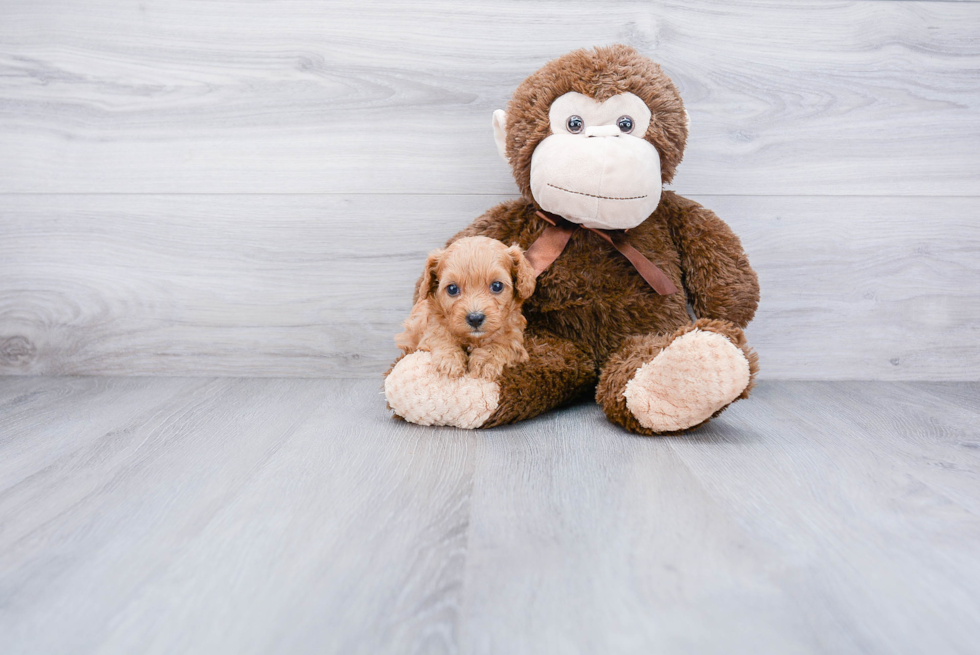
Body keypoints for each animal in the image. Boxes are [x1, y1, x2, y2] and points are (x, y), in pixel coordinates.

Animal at [394, 236, 536, 380]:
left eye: (497, 286)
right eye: (452, 289)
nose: (475, 318)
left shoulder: (514, 337)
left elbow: (504, 343)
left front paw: (486, 360)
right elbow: (439, 334)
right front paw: (450, 360)